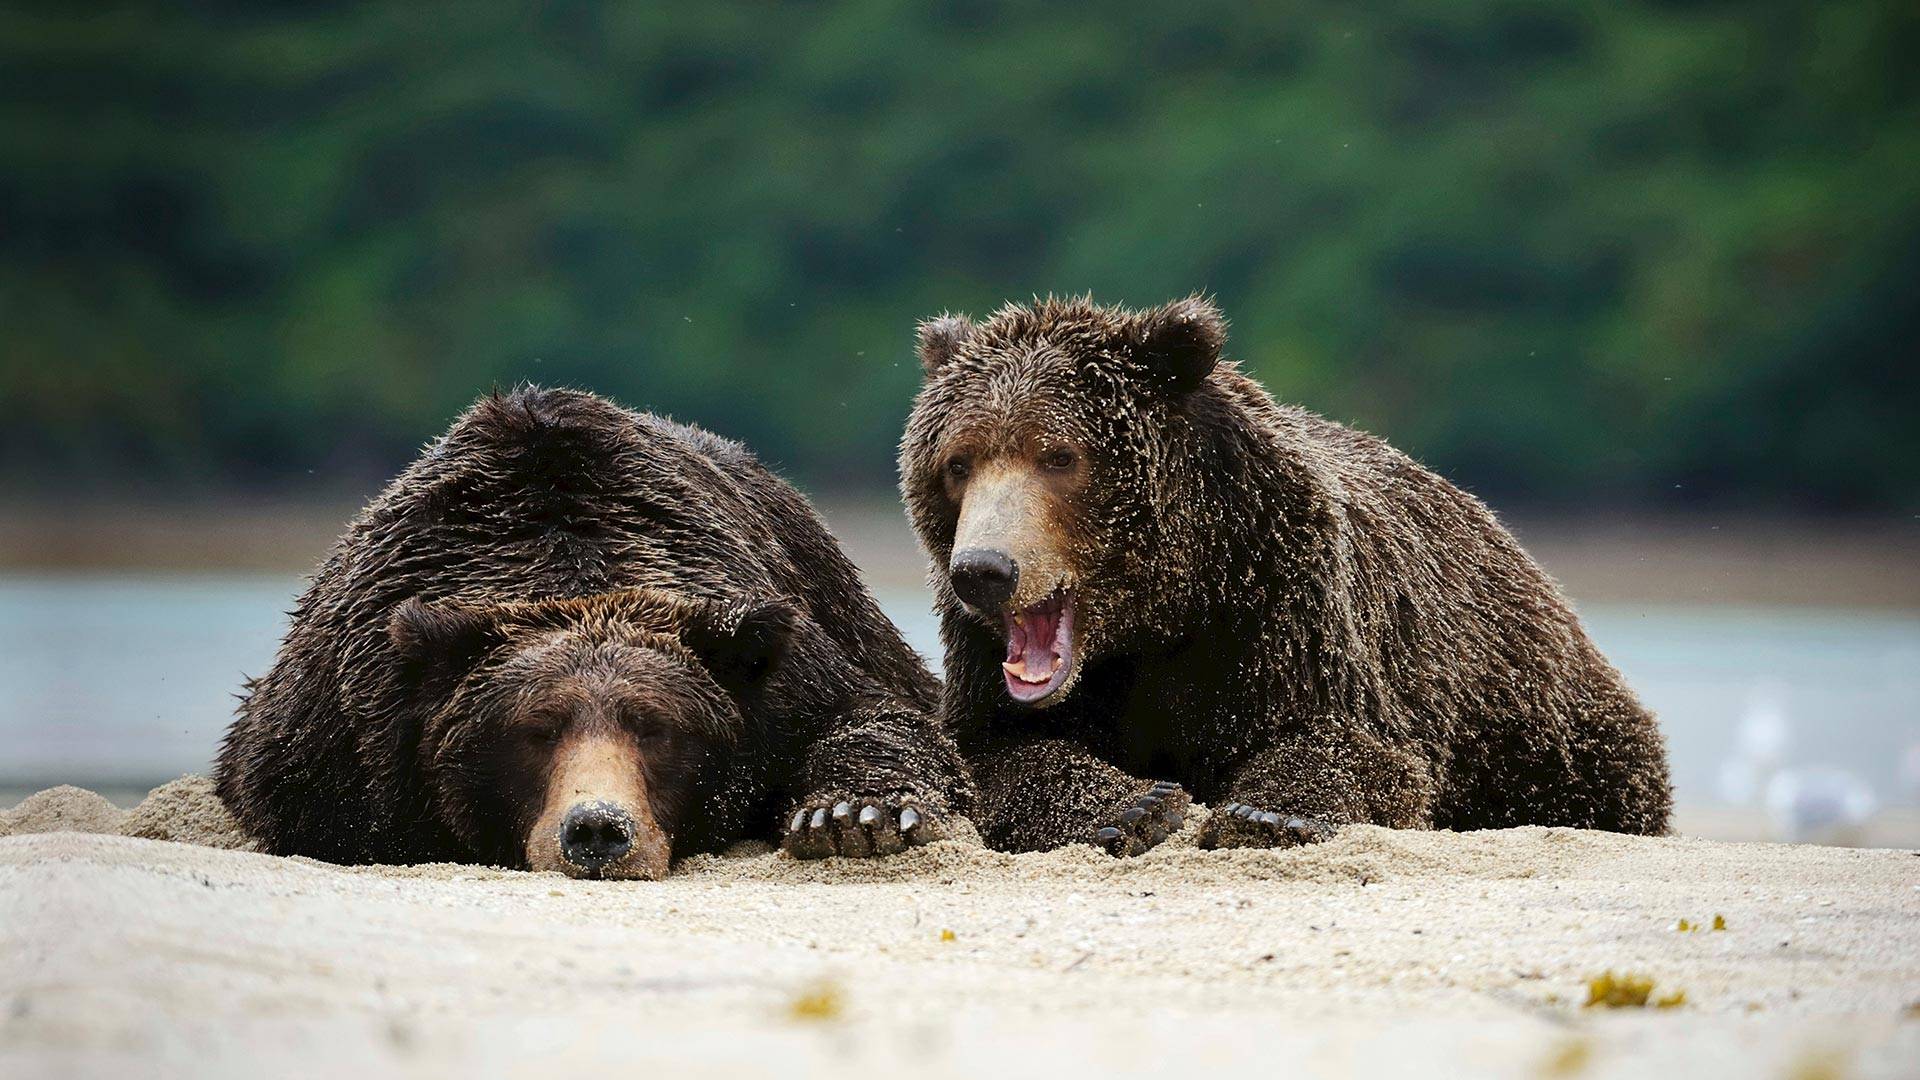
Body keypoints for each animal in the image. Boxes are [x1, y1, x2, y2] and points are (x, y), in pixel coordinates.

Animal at [217, 385, 972, 878]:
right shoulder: (350, 724)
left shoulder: (776, 668)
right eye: (535, 729)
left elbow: (871, 716)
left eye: (657, 727)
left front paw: (851, 817)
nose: (598, 830)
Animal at [899, 295, 1671, 856]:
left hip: (1541, 725)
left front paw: (1267, 813)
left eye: (1058, 455)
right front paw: (1133, 804)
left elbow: (1355, 746)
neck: (1164, 610)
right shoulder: (984, 658)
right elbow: (988, 751)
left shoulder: (1283, 605)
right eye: (958, 462)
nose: (985, 570)